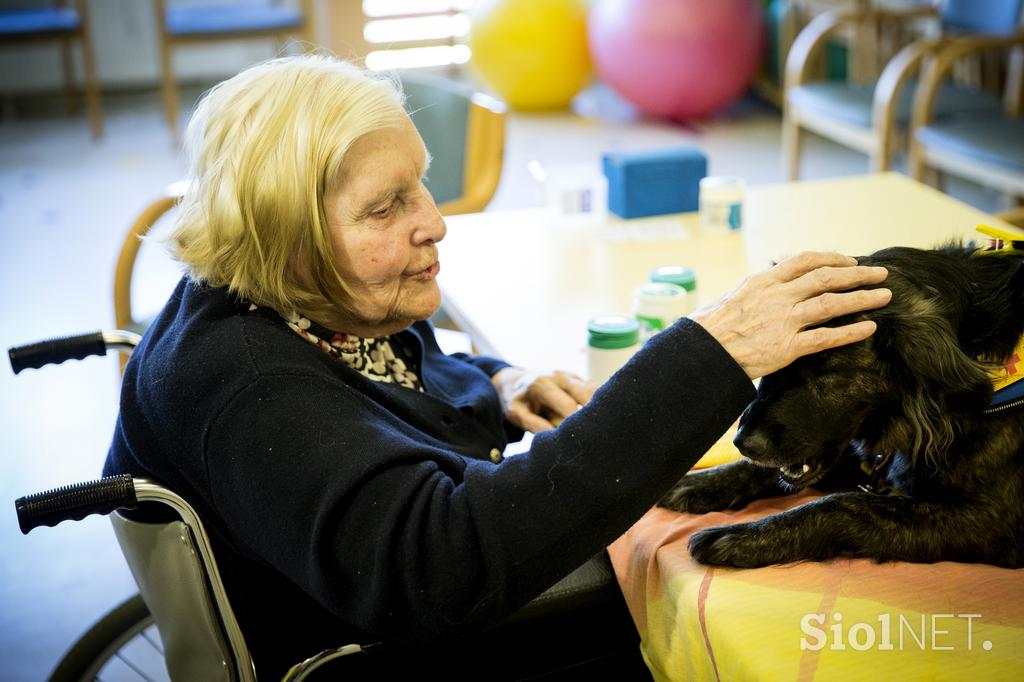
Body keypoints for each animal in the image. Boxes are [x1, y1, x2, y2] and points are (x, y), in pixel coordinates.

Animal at [659, 244, 1019, 569]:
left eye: (826, 372)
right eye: (775, 359)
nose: (744, 443)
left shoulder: (986, 520)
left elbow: (844, 505)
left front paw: (745, 536)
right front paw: (702, 481)